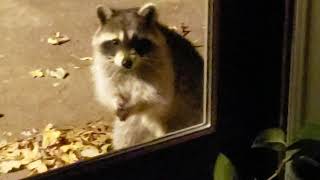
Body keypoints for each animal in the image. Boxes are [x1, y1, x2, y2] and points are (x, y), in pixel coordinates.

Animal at [91, 2, 204, 150]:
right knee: (125, 134)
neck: (130, 69)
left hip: (187, 110)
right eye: (115, 42)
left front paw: (136, 103)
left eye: (137, 41)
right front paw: (115, 100)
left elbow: (156, 95)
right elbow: (108, 89)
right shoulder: (106, 64)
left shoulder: (164, 66)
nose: (126, 62)